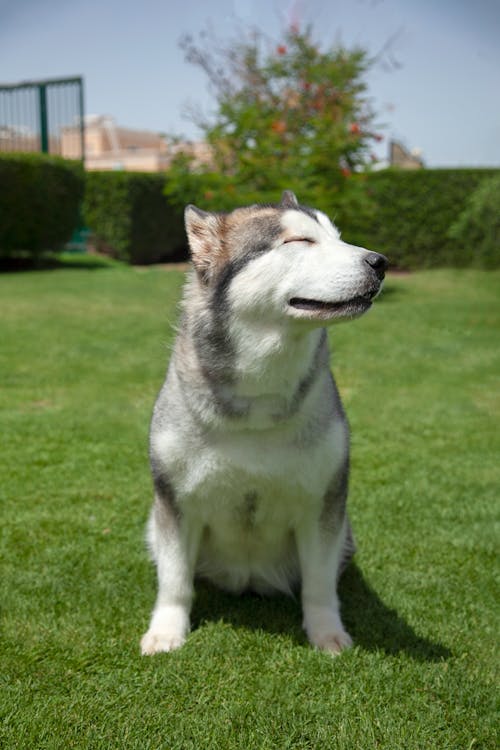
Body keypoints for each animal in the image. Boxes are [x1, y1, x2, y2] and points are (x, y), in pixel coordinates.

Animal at [141, 191, 386, 656]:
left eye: (337, 236)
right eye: (299, 241)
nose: (380, 261)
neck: (257, 401)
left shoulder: (323, 503)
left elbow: (319, 583)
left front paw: (327, 633)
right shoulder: (174, 501)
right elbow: (175, 579)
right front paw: (167, 630)